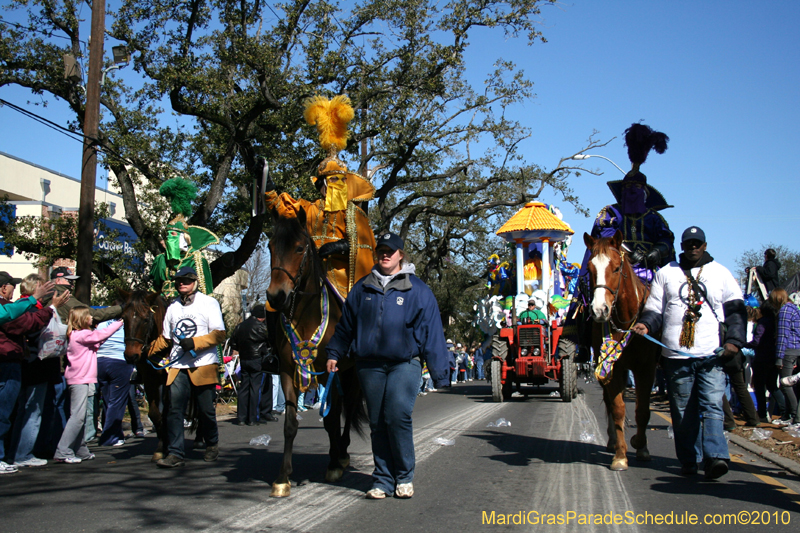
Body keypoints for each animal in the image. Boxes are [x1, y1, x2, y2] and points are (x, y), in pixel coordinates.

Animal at [117, 288, 169, 460]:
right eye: (123, 318)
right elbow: (155, 414)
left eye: (146, 319)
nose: (131, 355)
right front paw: (161, 447)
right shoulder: (149, 381)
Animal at [268, 207, 368, 494]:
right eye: (270, 246)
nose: (276, 296)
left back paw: (342, 453)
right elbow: (290, 423)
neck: (307, 314)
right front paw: (283, 478)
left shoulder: (328, 372)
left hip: (352, 373)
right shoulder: (288, 371)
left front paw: (334, 464)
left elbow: (331, 419)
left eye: (300, 248)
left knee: (350, 407)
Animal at [584, 229, 660, 470]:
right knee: (609, 402)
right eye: (590, 269)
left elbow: (642, 410)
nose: (600, 310)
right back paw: (611, 441)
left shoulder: (646, 368)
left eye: (617, 268)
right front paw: (620, 455)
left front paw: (641, 446)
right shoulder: (612, 367)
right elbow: (617, 408)